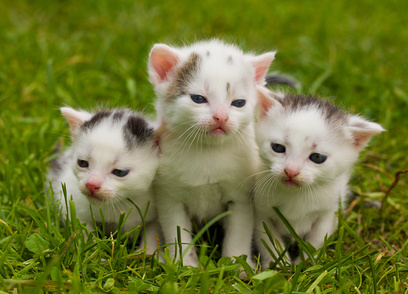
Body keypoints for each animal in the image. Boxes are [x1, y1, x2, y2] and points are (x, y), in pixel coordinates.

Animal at [48, 107, 160, 254]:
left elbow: (154, 230)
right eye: (82, 163)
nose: (91, 184)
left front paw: (147, 253)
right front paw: (93, 253)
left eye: (120, 172)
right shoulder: (71, 200)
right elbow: (82, 228)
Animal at [148, 39, 276, 272]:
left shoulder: (242, 197)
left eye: (238, 103)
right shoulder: (169, 196)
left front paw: (237, 265)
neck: (208, 152)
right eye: (198, 99)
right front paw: (186, 266)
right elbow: (176, 230)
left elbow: (239, 233)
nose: (221, 117)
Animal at [253, 85, 384, 268]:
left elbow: (316, 240)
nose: (291, 171)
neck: (296, 195)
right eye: (278, 147)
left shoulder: (328, 212)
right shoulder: (261, 212)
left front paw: (307, 265)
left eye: (317, 157)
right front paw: (279, 266)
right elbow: (269, 241)